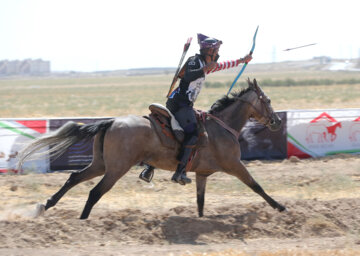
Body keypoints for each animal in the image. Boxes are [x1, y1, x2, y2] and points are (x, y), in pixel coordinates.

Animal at [16, 78, 286, 218]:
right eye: (268, 100)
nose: (277, 121)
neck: (222, 126)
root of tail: (111, 121)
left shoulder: (202, 174)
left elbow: (200, 202)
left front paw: (200, 222)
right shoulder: (235, 165)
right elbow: (257, 186)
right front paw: (280, 207)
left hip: (100, 164)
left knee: (74, 177)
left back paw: (46, 205)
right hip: (116, 169)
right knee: (95, 192)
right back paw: (83, 222)